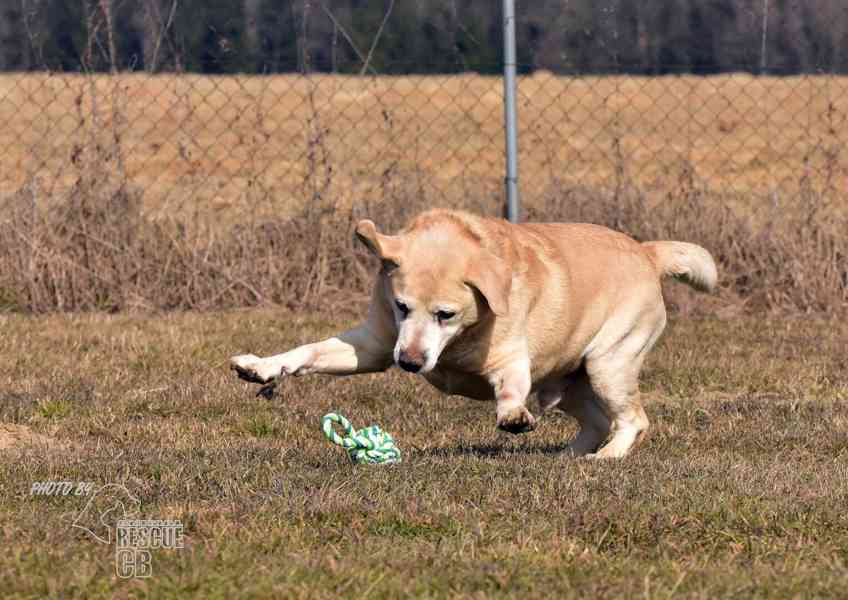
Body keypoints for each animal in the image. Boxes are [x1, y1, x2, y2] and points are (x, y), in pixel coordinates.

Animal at [232, 209, 716, 458]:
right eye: (401, 306)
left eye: (445, 314)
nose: (409, 363)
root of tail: (646, 252)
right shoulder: (374, 344)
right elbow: (308, 352)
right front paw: (261, 367)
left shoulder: (510, 358)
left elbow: (511, 387)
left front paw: (513, 416)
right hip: (568, 384)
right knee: (597, 421)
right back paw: (569, 455)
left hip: (607, 364)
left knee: (633, 419)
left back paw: (608, 457)